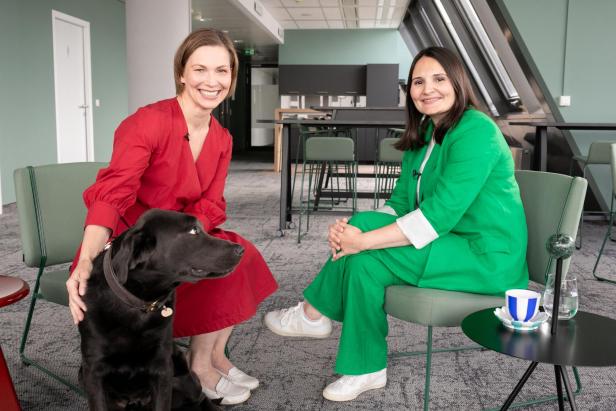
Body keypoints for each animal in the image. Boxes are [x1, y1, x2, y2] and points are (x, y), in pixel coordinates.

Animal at [76, 211, 241, 410]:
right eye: (193, 231)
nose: (240, 249)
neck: (138, 304)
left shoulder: (162, 368)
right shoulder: (93, 371)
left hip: (181, 377)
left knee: (200, 397)